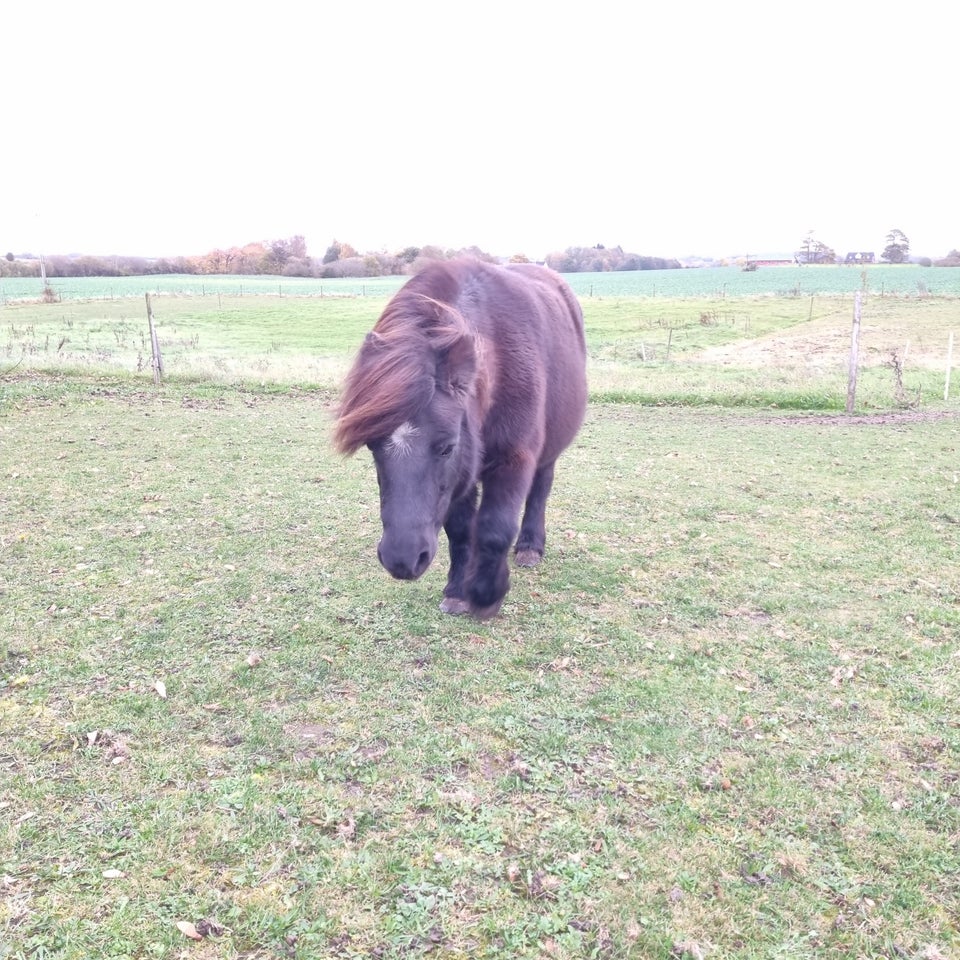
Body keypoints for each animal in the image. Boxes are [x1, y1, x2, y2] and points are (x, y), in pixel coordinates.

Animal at [334, 256, 588, 616]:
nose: (402, 559)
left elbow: (495, 528)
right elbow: (459, 530)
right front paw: (456, 590)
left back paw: (530, 546)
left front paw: (486, 594)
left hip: (548, 453)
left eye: (446, 447)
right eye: (372, 447)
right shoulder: (459, 477)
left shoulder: (514, 459)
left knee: (540, 491)